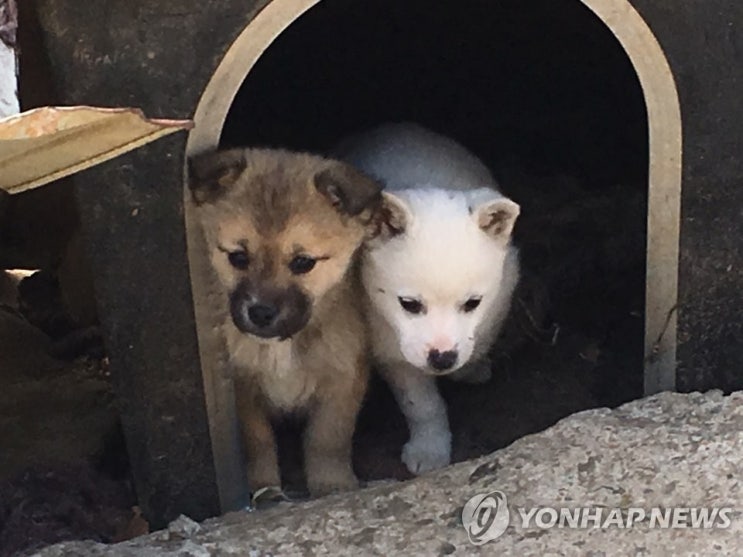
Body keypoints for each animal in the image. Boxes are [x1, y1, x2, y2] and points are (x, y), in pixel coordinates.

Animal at [189, 148, 384, 496]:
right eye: (238, 257)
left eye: (303, 262)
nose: (260, 313)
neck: (285, 345)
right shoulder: (243, 387)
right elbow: (258, 440)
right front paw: (264, 487)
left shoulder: (343, 380)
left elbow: (327, 439)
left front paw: (331, 485)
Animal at [334, 122, 520, 474]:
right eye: (409, 305)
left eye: (472, 303)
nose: (443, 359)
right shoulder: (391, 343)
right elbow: (421, 403)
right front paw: (429, 449)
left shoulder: (504, 288)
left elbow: (481, 336)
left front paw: (470, 367)